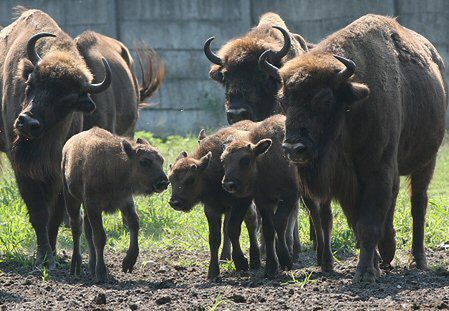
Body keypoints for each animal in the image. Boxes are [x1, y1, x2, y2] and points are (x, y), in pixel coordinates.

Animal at [61, 127, 168, 282]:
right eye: (144, 162)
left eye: (161, 160)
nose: (163, 182)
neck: (116, 165)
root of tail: (67, 146)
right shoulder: (93, 206)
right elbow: (100, 237)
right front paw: (101, 273)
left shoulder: (125, 202)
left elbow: (134, 224)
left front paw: (128, 262)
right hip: (71, 199)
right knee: (77, 228)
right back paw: (76, 266)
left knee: (87, 230)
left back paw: (91, 266)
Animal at [260, 14, 446, 282]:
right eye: (283, 100)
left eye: (324, 100)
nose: (294, 147)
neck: (350, 109)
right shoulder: (347, 182)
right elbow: (358, 221)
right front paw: (376, 262)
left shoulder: (378, 170)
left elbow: (368, 224)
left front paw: (365, 272)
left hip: (426, 161)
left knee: (418, 204)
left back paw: (418, 260)